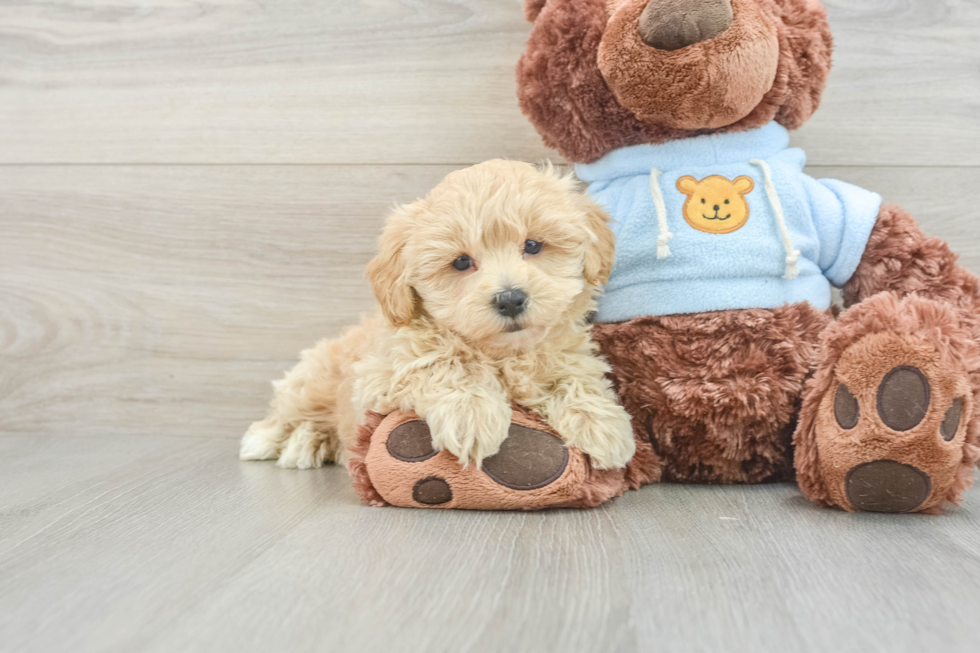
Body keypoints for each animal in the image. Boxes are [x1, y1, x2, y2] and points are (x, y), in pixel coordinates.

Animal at [238, 161, 636, 472]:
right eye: (461, 262)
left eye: (533, 245)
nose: (510, 300)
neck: (503, 353)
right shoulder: (377, 379)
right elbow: (438, 364)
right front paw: (471, 414)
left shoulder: (569, 352)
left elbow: (575, 376)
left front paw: (600, 422)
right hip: (313, 380)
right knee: (290, 413)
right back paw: (283, 441)